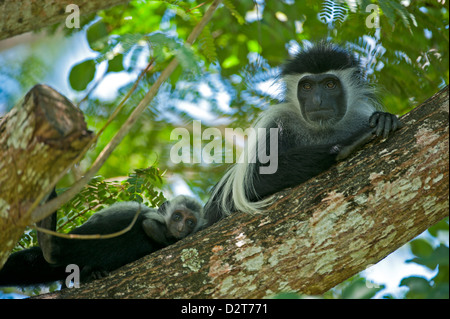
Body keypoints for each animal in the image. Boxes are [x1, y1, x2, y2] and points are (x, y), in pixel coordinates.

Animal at [204, 42, 400, 228]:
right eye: (307, 86)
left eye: (330, 84)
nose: (317, 100)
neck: (321, 129)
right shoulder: (275, 122)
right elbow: (252, 181)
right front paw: (346, 143)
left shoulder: (361, 115)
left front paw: (384, 118)